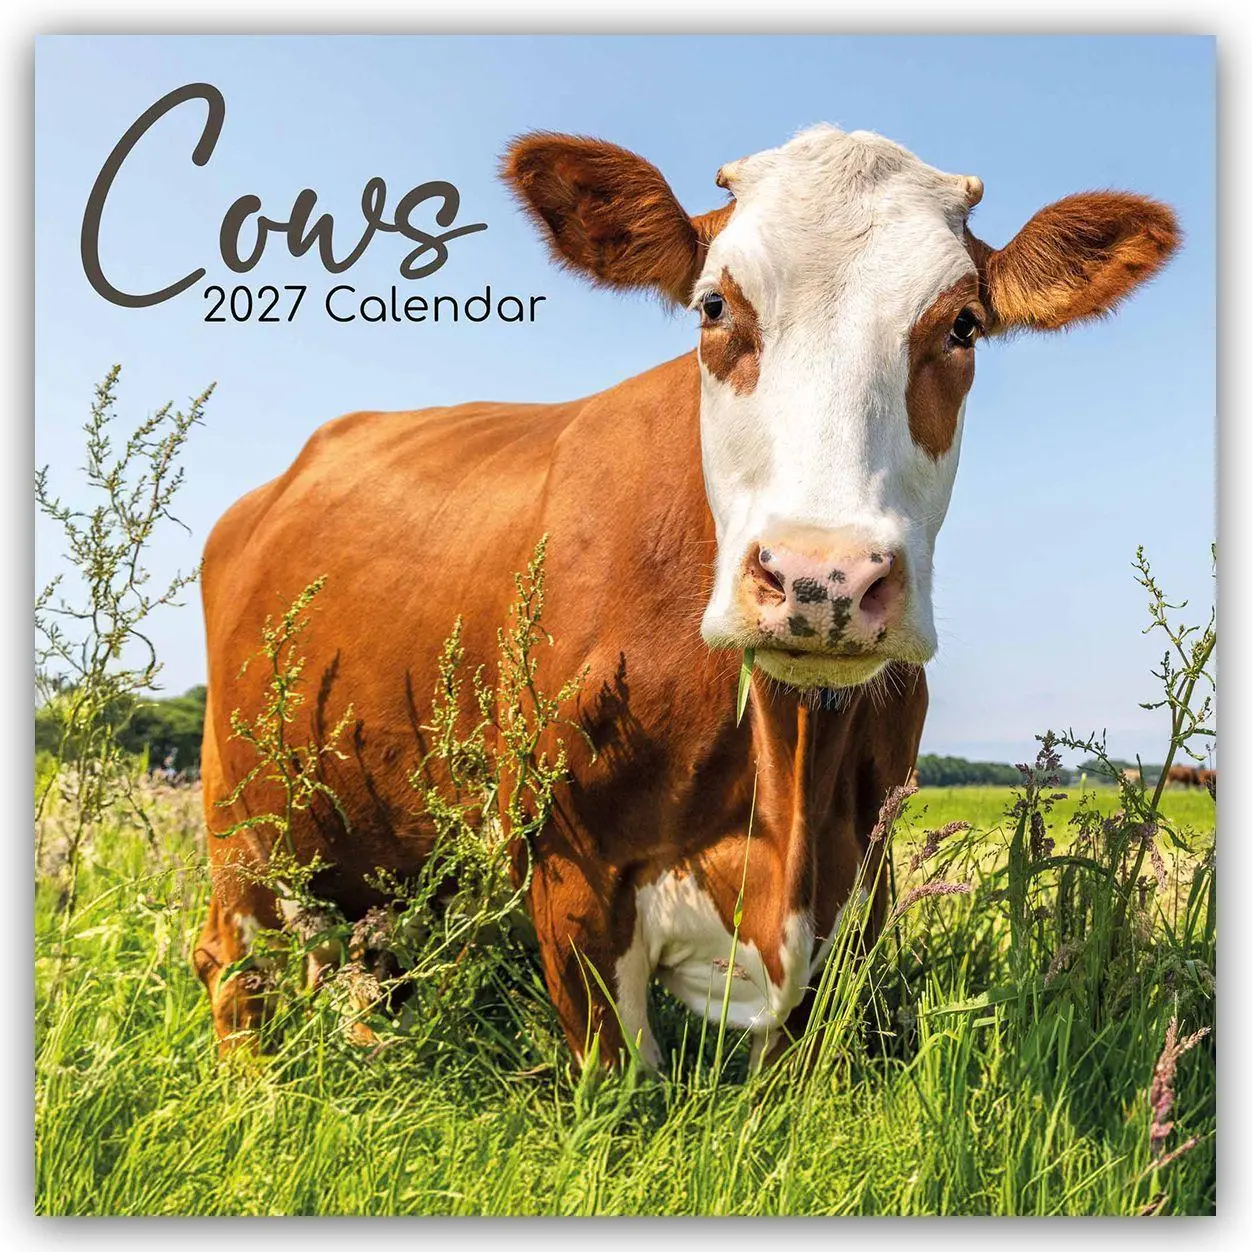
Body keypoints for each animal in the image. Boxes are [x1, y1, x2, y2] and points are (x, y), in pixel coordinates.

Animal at [195, 125, 1178, 1068]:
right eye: (714, 306)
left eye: (964, 325)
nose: (823, 576)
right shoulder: (570, 879)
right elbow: (621, 1083)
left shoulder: (857, 885)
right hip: (240, 818)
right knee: (233, 962)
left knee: (363, 963)